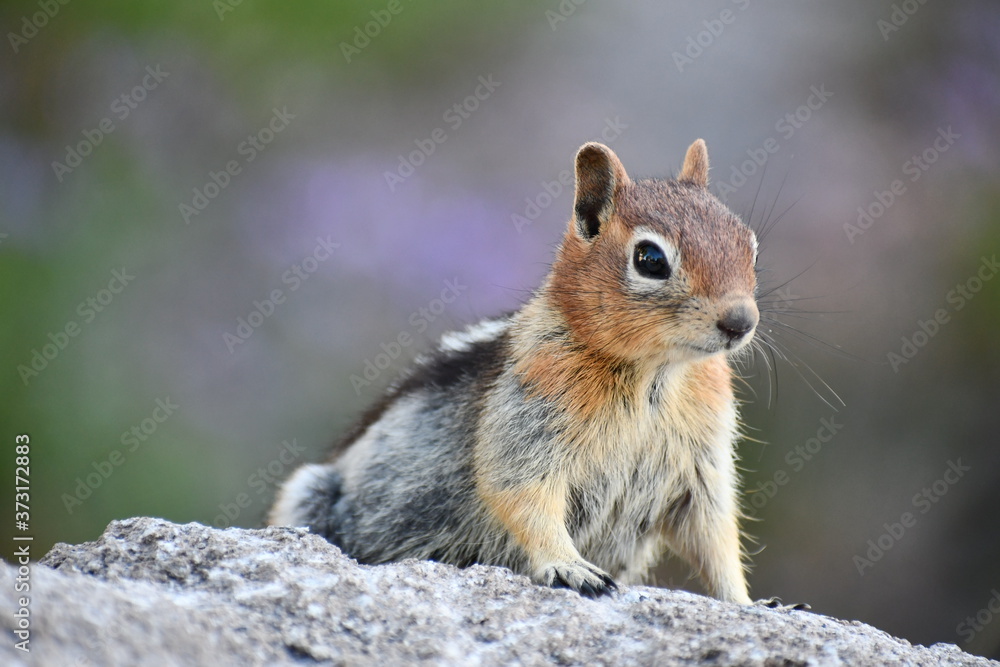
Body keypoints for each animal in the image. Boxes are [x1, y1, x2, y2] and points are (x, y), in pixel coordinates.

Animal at [269, 139, 762, 603]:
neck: (654, 374)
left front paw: (748, 602)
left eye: (751, 247)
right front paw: (570, 567)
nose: (740, 322)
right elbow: (521, 494)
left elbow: (714, 532)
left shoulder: (702, 466)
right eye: (650, 259)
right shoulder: (527, 423)